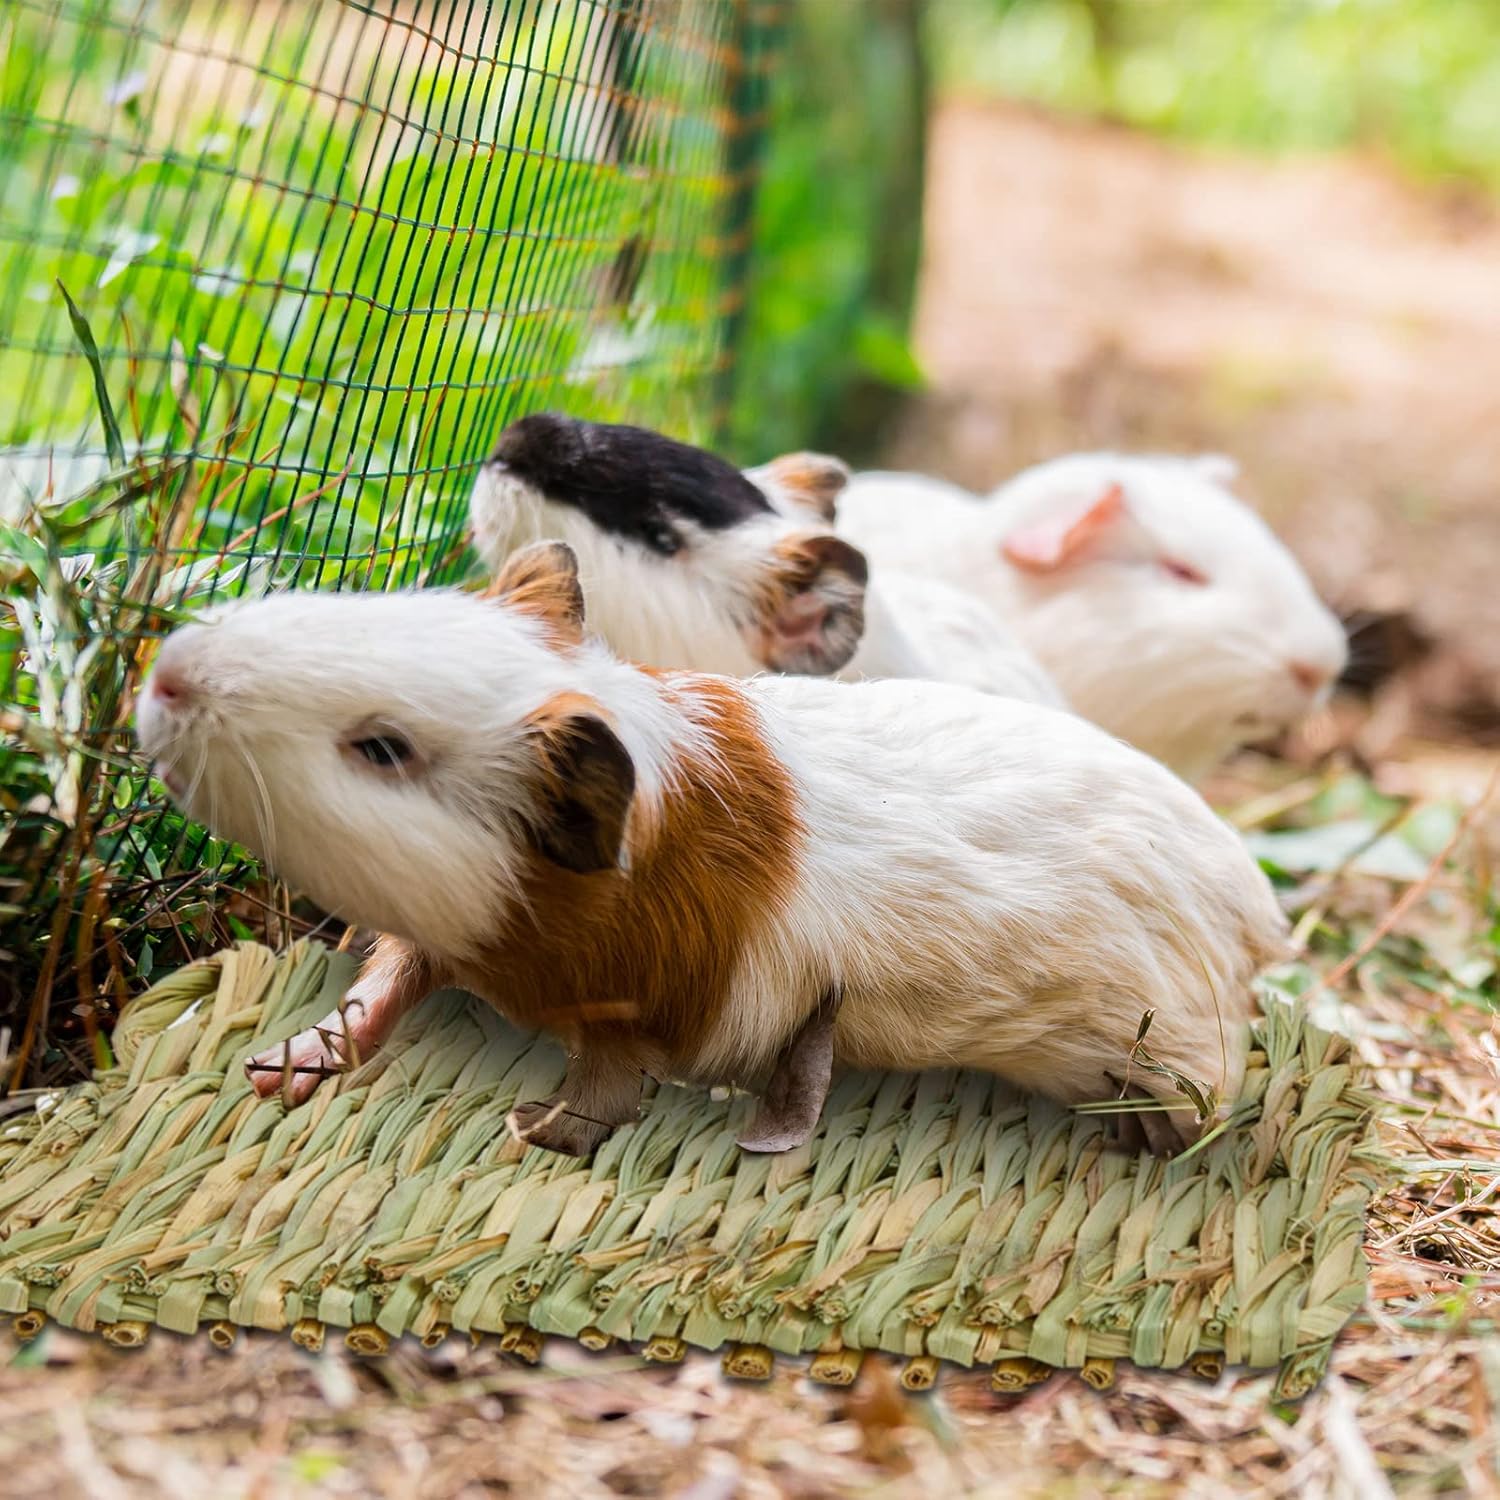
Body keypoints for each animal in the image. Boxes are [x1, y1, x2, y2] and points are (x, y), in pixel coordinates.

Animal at [135, 541, 1289, 1159]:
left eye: (382, 747)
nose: (167, 676)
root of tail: (1258, 913)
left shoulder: (637, 1016)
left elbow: (603, 1090)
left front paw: (530, 1128)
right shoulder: (439, 943)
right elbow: (385, 983)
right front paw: (280, 1071)